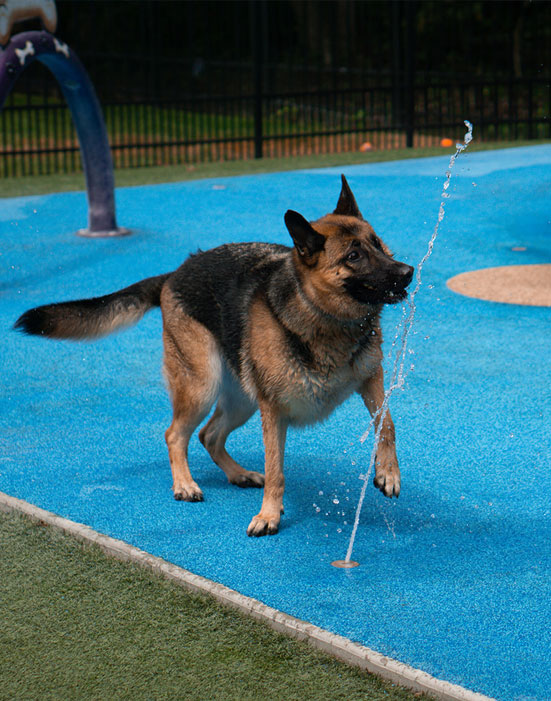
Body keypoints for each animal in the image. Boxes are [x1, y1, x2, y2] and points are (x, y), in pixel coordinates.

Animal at [15, 176, 414, 536]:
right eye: (353, 256)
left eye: (378, 244)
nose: (408, 272)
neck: (323, 315)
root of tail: (175, 273)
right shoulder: (273, 411)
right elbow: (277, 470)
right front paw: (269, 515)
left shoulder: (371, 379)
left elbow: (388, 425)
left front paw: (387, 473)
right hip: (202, 387)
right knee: (175, 434)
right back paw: (184, 483)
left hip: (241, 400)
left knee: (209, 435)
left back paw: (238, 474)